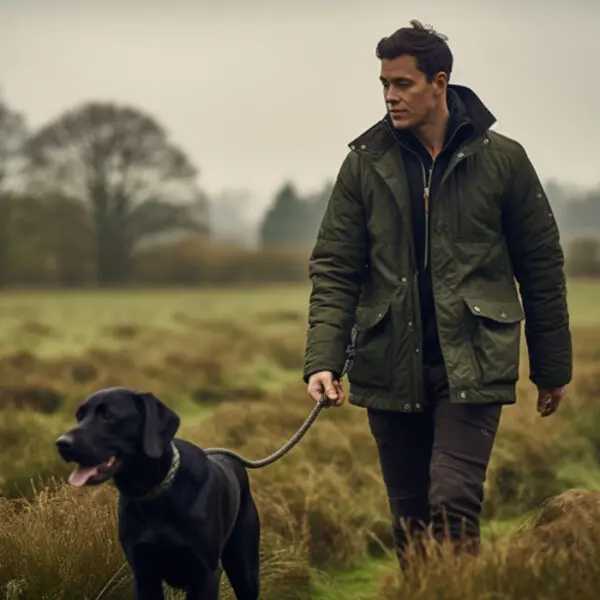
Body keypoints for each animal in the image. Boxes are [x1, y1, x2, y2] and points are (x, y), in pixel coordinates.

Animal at [55, 386, 260, 600]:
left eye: (108, 416)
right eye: (79, 416)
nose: (61, 443)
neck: (155, 496)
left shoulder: (206, 574)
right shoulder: (144, 574)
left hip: (244, 570)